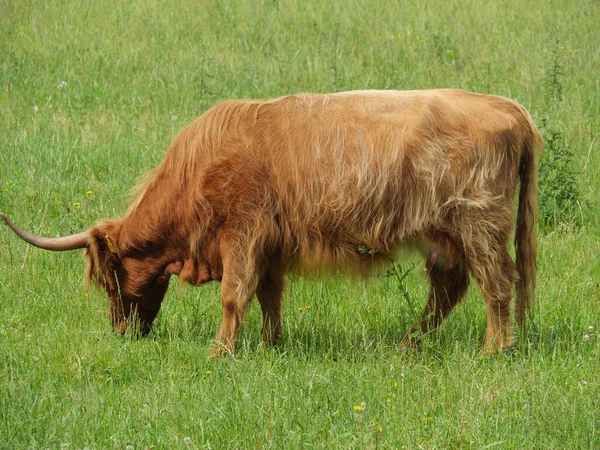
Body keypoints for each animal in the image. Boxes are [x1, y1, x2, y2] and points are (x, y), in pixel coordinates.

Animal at [1, 89, 544, 356]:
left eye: (109, 279)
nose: (121, 331)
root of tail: (511, 109)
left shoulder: (243, 233)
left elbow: (233, 294)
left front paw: (220, 353)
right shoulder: (271, 244)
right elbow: (268, 295)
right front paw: (271, 345)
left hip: (478, 224)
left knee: (497, 284)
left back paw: (493, 352)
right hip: (445, 235)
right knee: (452, 289)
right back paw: (410, 344)